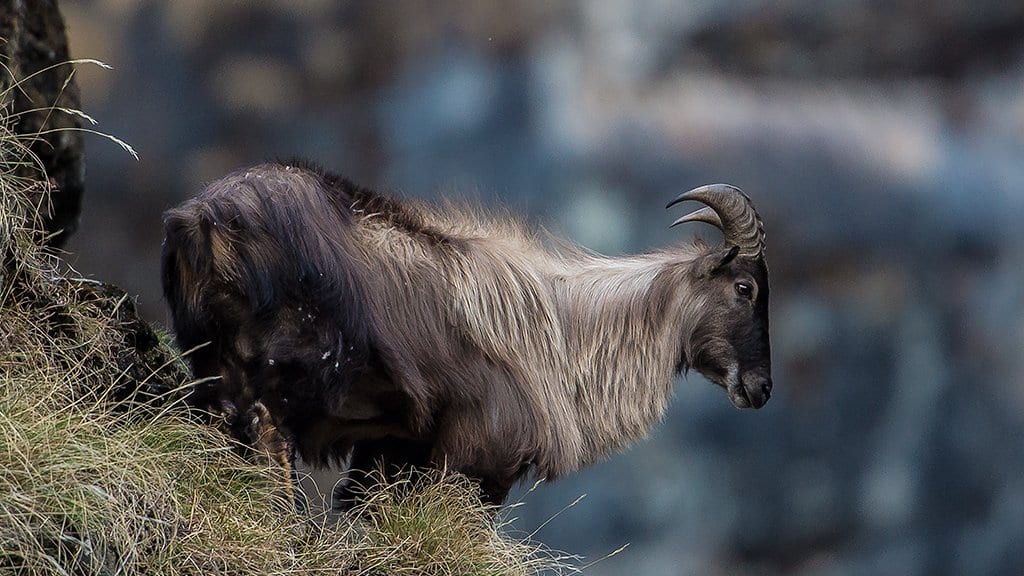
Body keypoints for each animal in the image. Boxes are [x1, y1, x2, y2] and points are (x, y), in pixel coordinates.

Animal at [161, 161, 772, 506]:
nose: (761, 387)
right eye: (745, 287)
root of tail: (204, 221)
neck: (559, 335)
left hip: (213, 363)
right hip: (297, 368)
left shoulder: (392, 451)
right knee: (267, 430)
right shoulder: (480, 457)